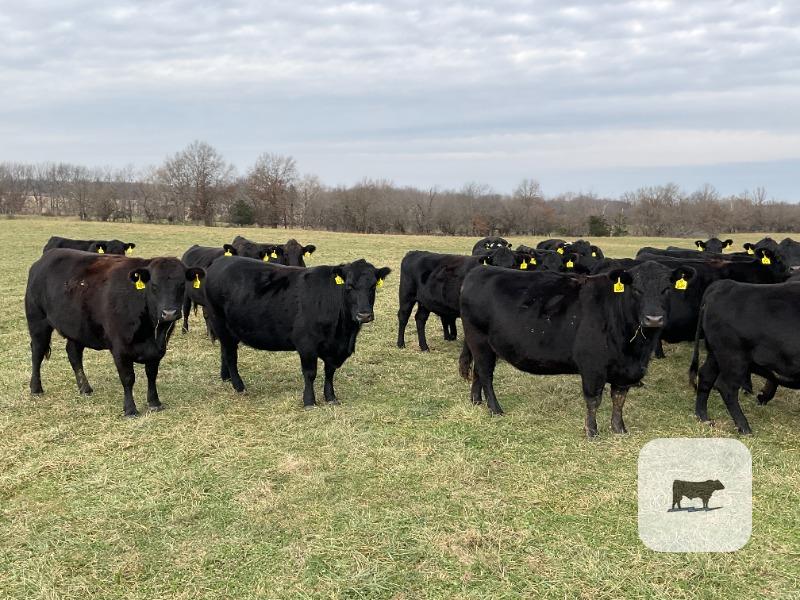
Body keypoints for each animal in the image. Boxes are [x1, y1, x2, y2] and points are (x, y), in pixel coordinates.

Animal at [25, 249, 204, 416]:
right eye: (154, 286)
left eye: (182, 284)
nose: (169, 313)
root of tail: (45, 258)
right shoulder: (120, 348)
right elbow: (128, 378)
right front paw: (130, 409)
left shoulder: (158, 349)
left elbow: (151, 374)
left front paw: (154, 402)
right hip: (38, 322)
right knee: (37, 352)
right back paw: (36, 388)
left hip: (77, 328)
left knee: (73, 353)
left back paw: (85, 388)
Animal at [203, 257, 390, 407]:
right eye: (349, 286)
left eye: (373, 286)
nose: (364, 314)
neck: (343, 333)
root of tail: (220, 261)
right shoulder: (306, 344)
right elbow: (310, 373)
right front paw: (309, 401)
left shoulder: (333, 348)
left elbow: (329, 372)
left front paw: (331, 397)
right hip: (221, 324)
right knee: (230, 356)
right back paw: (239, 386)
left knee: (225, 351)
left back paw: (226, 377)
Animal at [397, 247, 531, 351]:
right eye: (495, 264)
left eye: (513, 265)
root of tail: (413, 252)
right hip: (406, 295)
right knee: (403, 316)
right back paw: (400, 344)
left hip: (425, 301)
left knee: (420, 319)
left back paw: (424, 347)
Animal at [458, 261, 696, 436]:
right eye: (637, 290)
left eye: (667, 289)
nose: (653, 318)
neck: (635, 350)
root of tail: (479, 270)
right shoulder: (592, 366)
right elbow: (594, 400)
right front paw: (592, 431)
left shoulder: (626, 370)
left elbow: (619, 398)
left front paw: (619, 429)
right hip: (479, 340)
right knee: (486, 374)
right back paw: (495, 409)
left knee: (478, 372)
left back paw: (476, 401)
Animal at [690, 279, 800, 434]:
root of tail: (725, 284)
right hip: (734, 358)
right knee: (726, 387)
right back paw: (744, 427)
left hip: (715, 354)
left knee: (706, 375)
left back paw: (703, 417)